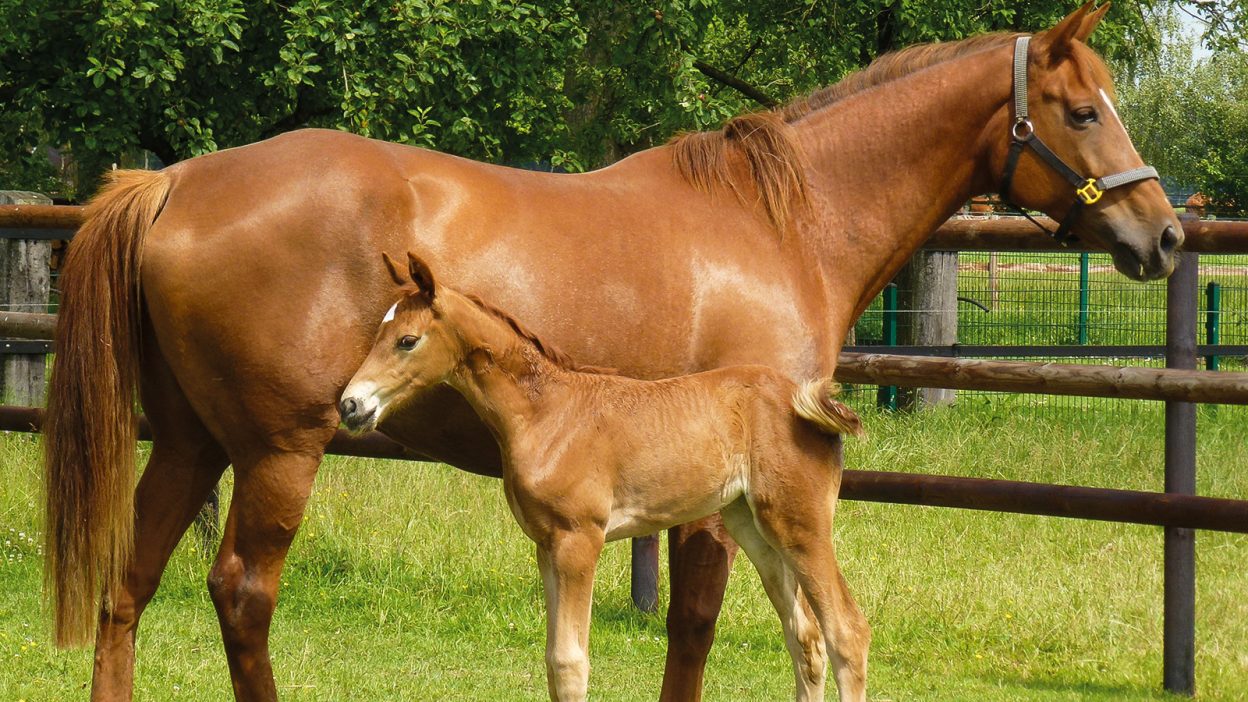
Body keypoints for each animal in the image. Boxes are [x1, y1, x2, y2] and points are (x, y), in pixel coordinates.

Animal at [341, 252, 870, 701]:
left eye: (407, 340)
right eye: (379, 333)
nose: (350, 405)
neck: (548, 414)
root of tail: (804, 401)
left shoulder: (580, 541)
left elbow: (570, 663)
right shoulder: (547, 545)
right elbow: (552, 661)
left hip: (801, 526)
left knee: (846, 631)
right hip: (754, 527)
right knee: (805, 638)